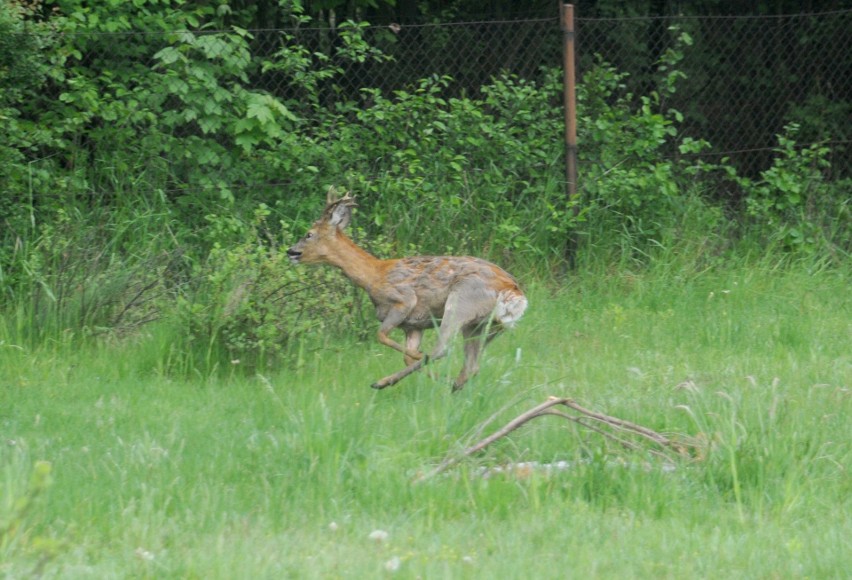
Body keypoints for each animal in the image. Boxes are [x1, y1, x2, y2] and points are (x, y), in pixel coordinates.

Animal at [288, 188, 524, 392]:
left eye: (309, 234)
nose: (291, 251)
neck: (374, 275)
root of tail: (514, 293)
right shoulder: (413, 325)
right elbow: (406, 355)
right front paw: (431, 369)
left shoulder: (403, 301)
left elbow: (382, 336)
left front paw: (421, 362)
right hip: (485, 326)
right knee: (472, 365)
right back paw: (453, 384)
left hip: (461, 303)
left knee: (443, 349)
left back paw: (384, 381)